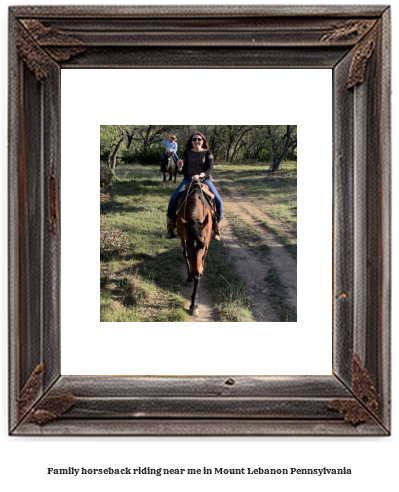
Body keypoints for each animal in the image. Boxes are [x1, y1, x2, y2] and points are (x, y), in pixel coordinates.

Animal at [178, 182, 216, 316]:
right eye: (188, 245)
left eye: (203, 245)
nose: (196, 271)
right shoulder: (183, 240)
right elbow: (187, 257)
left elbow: (198, 274)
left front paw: (194, 304)